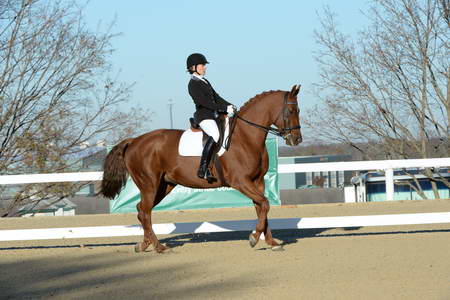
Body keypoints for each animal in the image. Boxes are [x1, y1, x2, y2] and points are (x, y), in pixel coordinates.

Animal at [100, 85, 300, 253]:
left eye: (298, 110)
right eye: (291, 111)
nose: (297, 140)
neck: (246, 137)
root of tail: (134, 141)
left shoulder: (257, 181)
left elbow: (262, 208)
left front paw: (271, 242)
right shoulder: (240, 181)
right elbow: (264, 204)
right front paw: (253, 237)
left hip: (164, 185)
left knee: (141, 210)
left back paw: (144, 244)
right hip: (149, 185)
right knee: (145, 212)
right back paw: (159, 247)